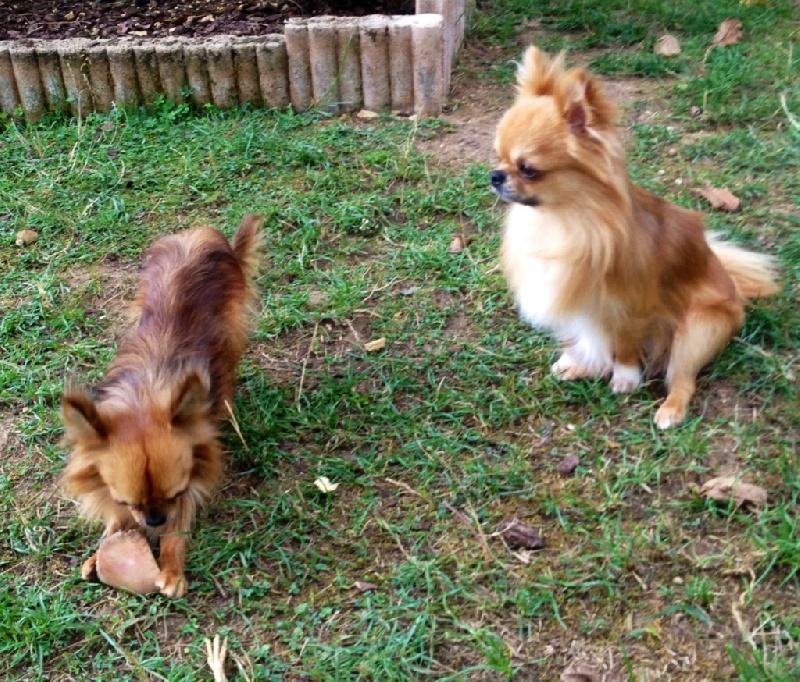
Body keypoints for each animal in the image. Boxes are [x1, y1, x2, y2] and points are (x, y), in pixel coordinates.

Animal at [61, 214, 262, 597]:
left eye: (173, 495)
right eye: (130, 502)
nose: (155, 520)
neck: (145, 396)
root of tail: (202, 234)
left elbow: (179, 526)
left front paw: (171, 567)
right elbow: (114, 518)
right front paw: (102, 550)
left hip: (232, 332)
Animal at [491, 47, 779, 428]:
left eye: (528, 169)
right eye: (498, 156)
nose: (495, 176)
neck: (565, 219)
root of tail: (731, 283)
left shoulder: (631, 307)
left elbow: (625, 346)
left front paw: (625, 378)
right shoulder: (581, 302)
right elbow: (590, 336)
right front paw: (582, 363)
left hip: (697, 327)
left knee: (683, 378)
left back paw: (671, 410)